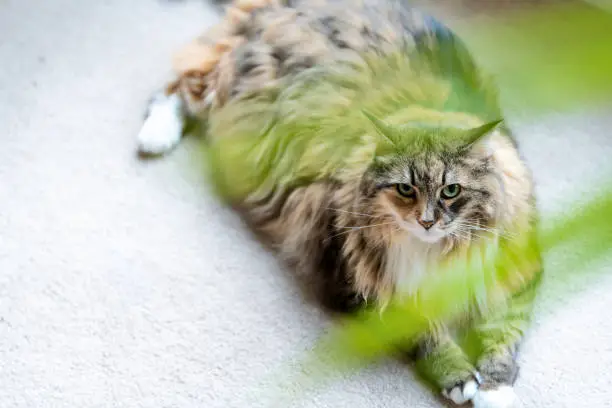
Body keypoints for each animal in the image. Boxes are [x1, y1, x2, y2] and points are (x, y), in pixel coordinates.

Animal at [136, 1, 544, 406]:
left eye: (451, 191)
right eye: (405, 189)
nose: (427, 222)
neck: (438, 252)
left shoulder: (515, 274)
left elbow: (503, 335)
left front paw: (495, 391)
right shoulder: (357, 282)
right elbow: (427, 336)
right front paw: (460, 379)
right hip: (227, 82)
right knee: (174, 88)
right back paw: (154, 138)